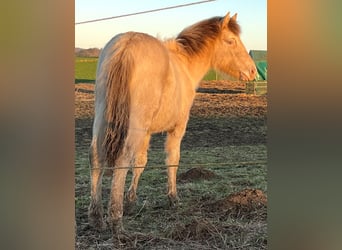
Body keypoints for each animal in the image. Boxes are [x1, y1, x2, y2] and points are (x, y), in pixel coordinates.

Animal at [88, 12, 256, 234]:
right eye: (231, 41)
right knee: (122, 160)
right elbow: (172, 160)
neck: (184, 65)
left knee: (96, 158)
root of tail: (127, 45)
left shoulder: (147, 133)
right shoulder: (177, 129)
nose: (253, 71)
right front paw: (173, 198)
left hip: (103, 118)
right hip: (134, 126)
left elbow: (140, 163)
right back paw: (116, 221)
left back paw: (96, 217)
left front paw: (131, 201)